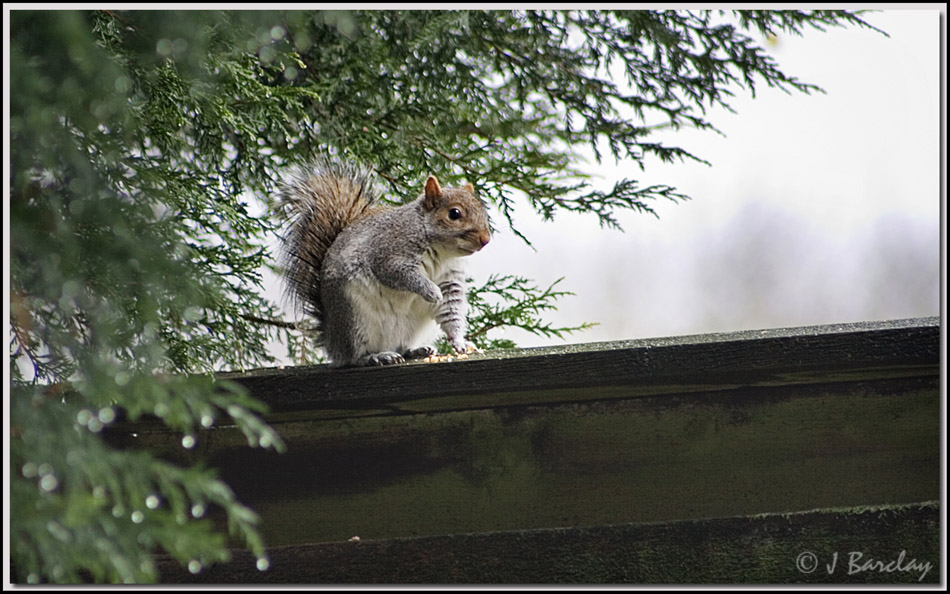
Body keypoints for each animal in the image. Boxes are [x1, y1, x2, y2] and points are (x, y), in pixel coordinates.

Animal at [278, 157, 494, 366]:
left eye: (483, 211)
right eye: (454, 213)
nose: (486, 239)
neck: (442, 253)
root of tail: (332, 342)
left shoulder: (450, 279)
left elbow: (451, 310)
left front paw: (460, 342)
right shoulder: (388, 254)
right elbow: (401, 275)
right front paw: (431, 291)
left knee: (402, 348)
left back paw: (416, 350)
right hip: (353, 321)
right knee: (353, 358)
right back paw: (375, 357)